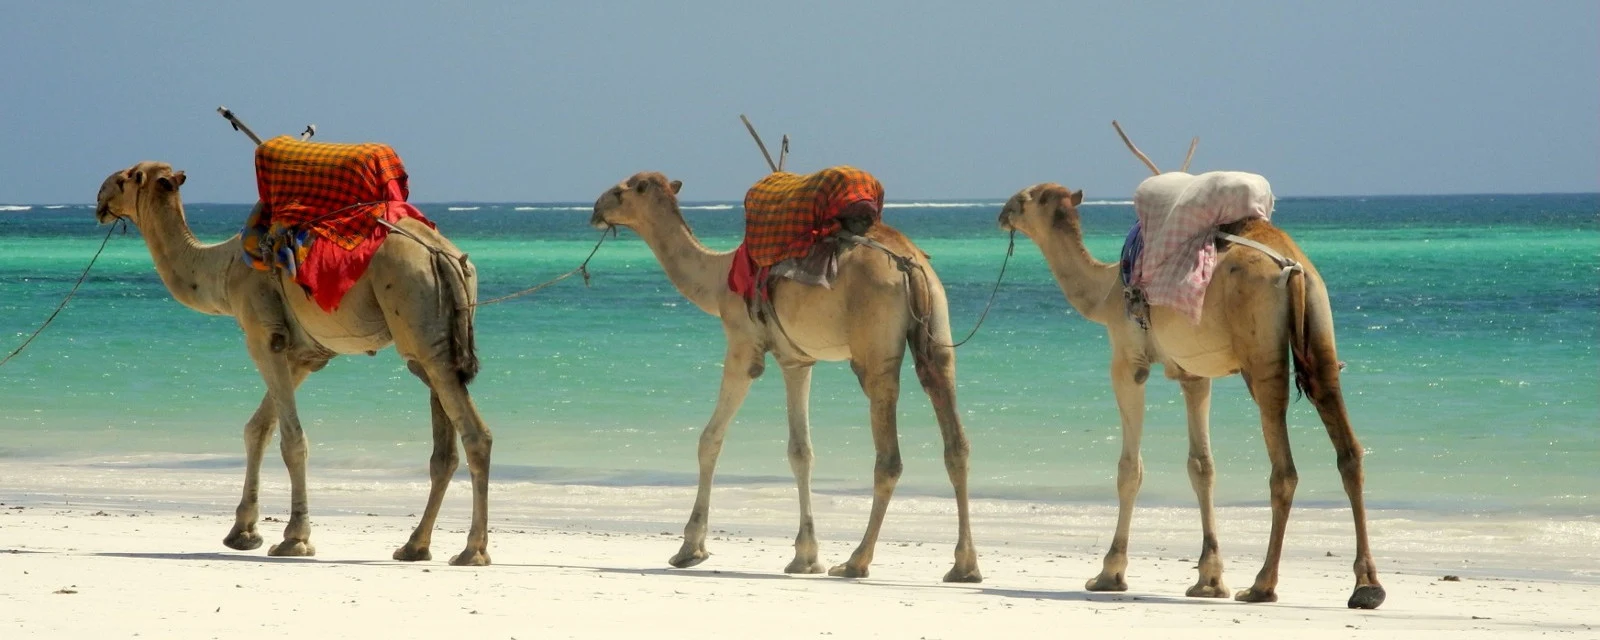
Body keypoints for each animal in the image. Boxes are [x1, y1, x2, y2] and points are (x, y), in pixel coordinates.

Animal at [94, 161, 493, 566]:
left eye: (125, 178)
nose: (99, 199)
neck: (223, 269)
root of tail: (443, 255)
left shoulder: (263, 337)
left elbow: (291, 439)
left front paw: (294, 539)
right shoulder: (305, 356)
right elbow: (258, 428)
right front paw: (243, 532)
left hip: (418, 319)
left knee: (476, 434)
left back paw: (472, 550)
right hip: (434, 341)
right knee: (444, 449)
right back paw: (415, 546)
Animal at [589, 172, 981, 582]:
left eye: (621, 190)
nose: (595, 209)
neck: (718, 279)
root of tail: (911, 265)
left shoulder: (744, 346)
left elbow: (710, 439)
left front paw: (690, 548)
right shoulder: (796, 361)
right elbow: (801, 451)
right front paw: (805, 557)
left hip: (875, 349)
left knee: (889, 456)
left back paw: (855, 561)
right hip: (938, 333)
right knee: (955, 439)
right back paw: (964, 566)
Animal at [996, 181, 1384, 608]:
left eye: (1025, 197)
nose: (1001, 213)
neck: (1105, 292)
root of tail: (1294, 266)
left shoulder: (1128, 363)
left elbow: (1130, 469)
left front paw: (1109, 573)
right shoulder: (1194, 375)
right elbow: (1202, 466)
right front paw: (1209, 579)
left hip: (1260, 352)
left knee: (1284, 467)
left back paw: (1262, 585)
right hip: (1320, 326)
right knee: (1348, 448)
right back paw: (1366, 586)